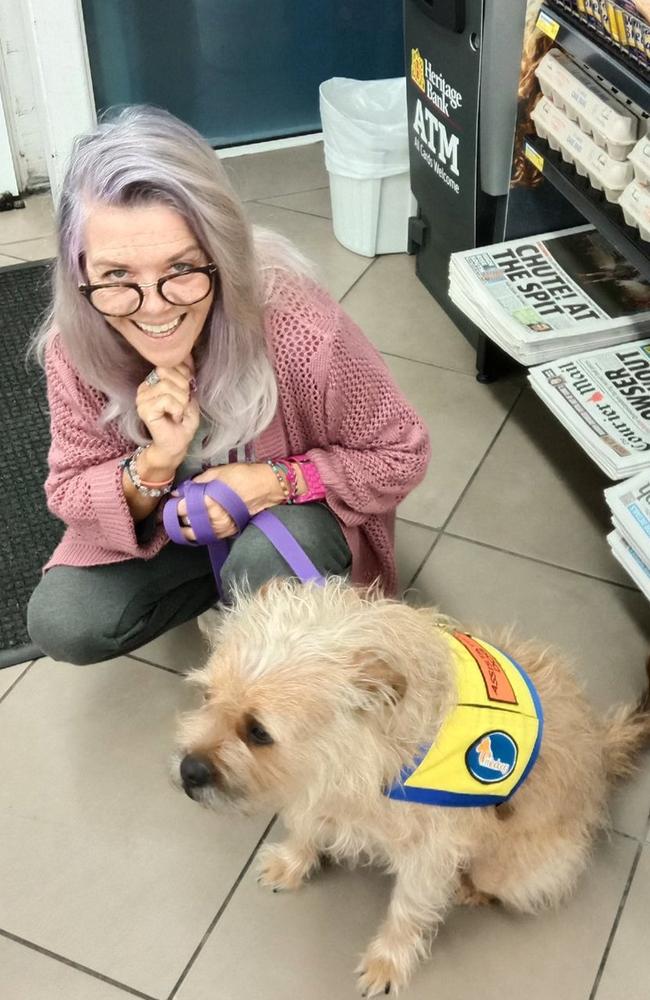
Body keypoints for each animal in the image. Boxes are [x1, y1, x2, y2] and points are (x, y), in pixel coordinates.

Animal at [172, 580, 648, 992]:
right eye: (207, 696)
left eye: (258, 732)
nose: (188, 772)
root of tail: (600, 747)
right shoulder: (319, 787)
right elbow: (307, 827)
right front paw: (293, 861)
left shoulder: (430, 852)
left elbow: (407, 910)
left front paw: (388, 961)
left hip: (513, 871)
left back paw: (469, 888)